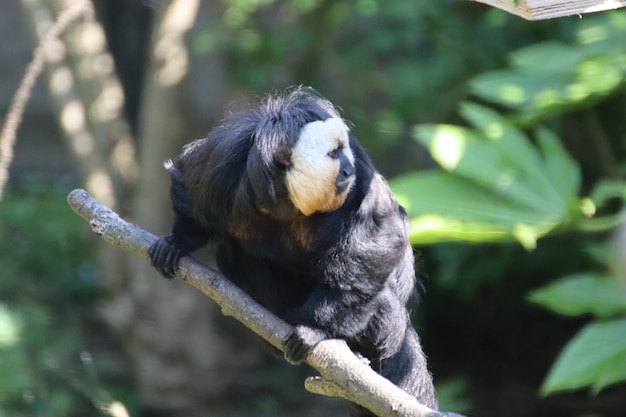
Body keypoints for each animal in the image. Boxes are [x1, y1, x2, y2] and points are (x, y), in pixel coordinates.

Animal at [148, 87, 436, 412]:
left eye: (344, 151)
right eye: (334, 153)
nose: (347, 169)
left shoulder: (361, 180)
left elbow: (379, 237)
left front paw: (316, 327)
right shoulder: (222, 163)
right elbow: (189, 186)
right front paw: (178, 242)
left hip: (391, 325)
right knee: (238, 254)